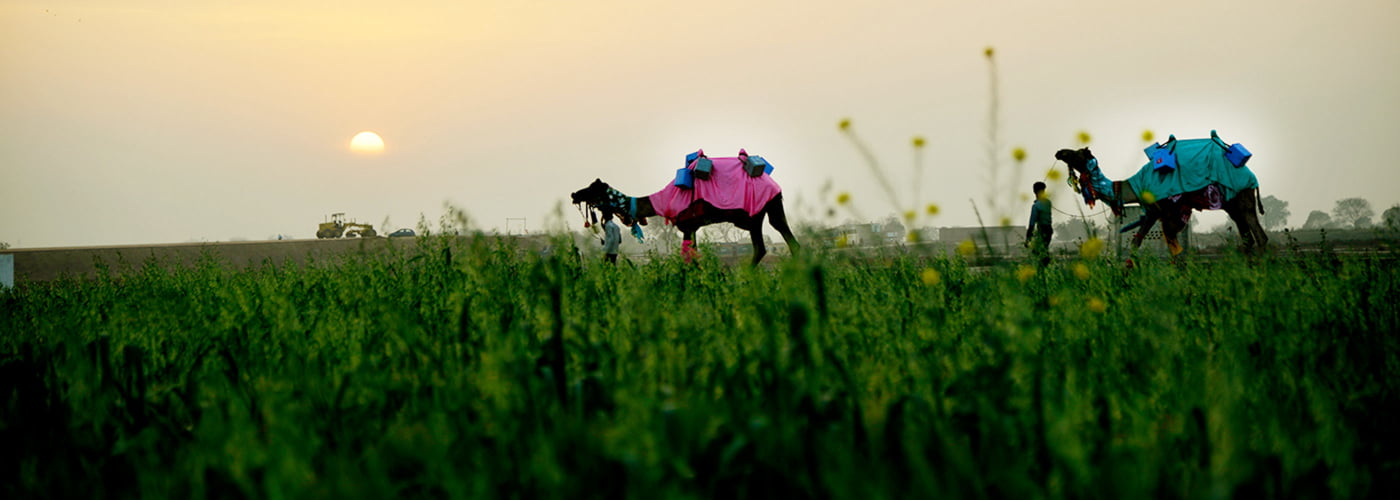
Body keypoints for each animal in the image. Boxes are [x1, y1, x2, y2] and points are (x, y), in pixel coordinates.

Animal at [571, 154, 800, 264]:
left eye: (592, 188)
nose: (574, 194)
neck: (662, 199)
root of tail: (774, 184)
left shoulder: (687, 224)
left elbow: (688, 257)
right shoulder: (693, 227)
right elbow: (694, 254)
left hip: (757, 211)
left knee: (765, 244)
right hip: (767, 209)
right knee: (775, 238)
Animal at [1058, 135, 1271, 257]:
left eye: (1076, 154)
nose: (1059, 152)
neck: (1133, 185)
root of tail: (1252, 175)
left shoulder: (1163, 210)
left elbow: (1168, 249)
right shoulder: (1158, 212)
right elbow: (1138, 244)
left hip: (1243, 197)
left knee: (1259, 236)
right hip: (1231, 204)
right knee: (1247, 238)